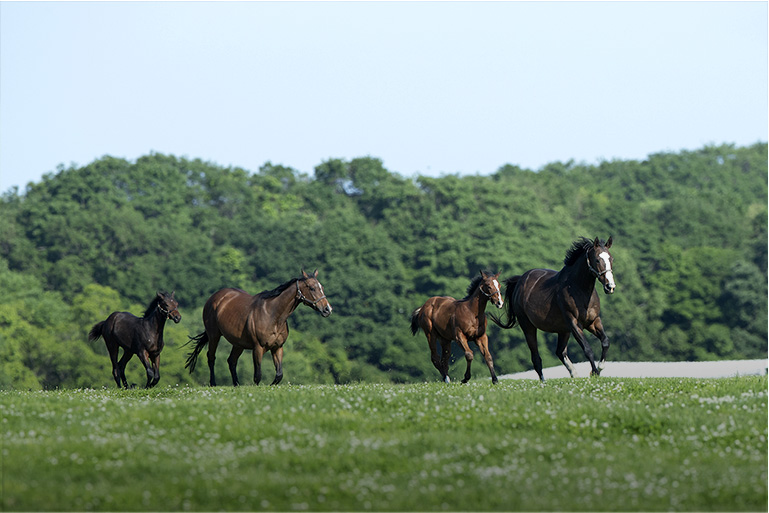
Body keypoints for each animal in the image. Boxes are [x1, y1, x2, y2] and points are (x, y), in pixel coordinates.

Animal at [187, 270, 332, 386]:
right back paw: (213, 383)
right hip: (214, 336)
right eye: (311, 288)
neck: (273, 315)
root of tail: (215, 298)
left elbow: (279, 375)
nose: (327, 309)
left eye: (322, 287)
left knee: (231, 361)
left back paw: (236, 384)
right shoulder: (258, 348)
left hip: (238, 344)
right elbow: (258, 375)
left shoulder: (277, 348)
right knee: (211, 357)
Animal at [492, 236, 616, 380]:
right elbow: (587, 349)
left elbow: (605, 341)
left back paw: (574, 374)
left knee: (560, 351)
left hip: (563, 330)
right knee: (536, 359)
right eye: (597, 259)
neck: (579, 289)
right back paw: (544, 381)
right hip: (528, 327)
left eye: (611, 259)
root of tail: (520, 281)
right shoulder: (574, 323)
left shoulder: (593, 321)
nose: (610, 286)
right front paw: (594, 372)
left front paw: (599, 369)